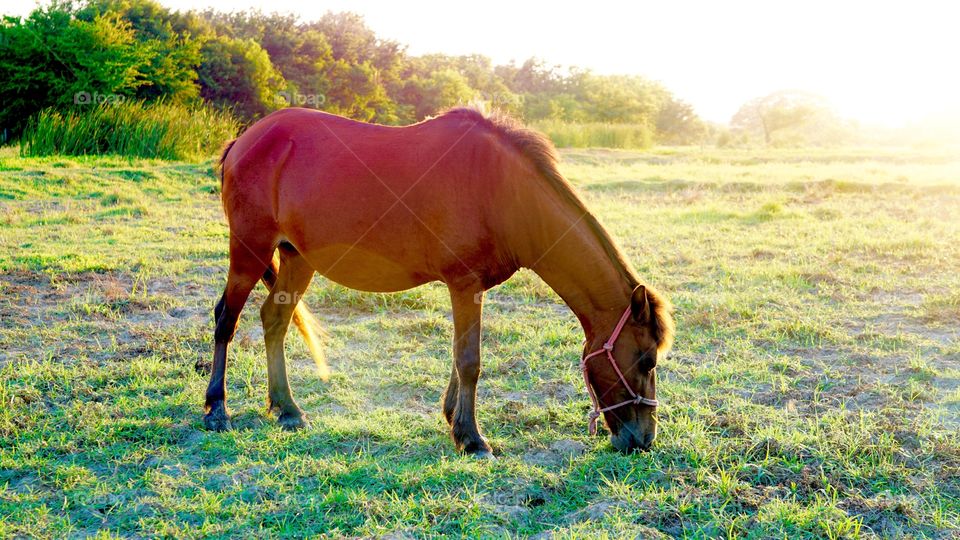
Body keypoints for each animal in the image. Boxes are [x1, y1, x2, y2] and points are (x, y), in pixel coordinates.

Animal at [206, 107, 674, 456]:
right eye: (647, 361)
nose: (643, 440)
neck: (503, 190)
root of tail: (243, 141)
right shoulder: (464, 284)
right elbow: (469, 360)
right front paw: (472, 439)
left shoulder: (469, 288)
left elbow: (458, 356)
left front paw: (454, 420)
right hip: (249, 251)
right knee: (226, 319)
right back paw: (216, 409)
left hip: (296, 259)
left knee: (275, 320)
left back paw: (287, 409)